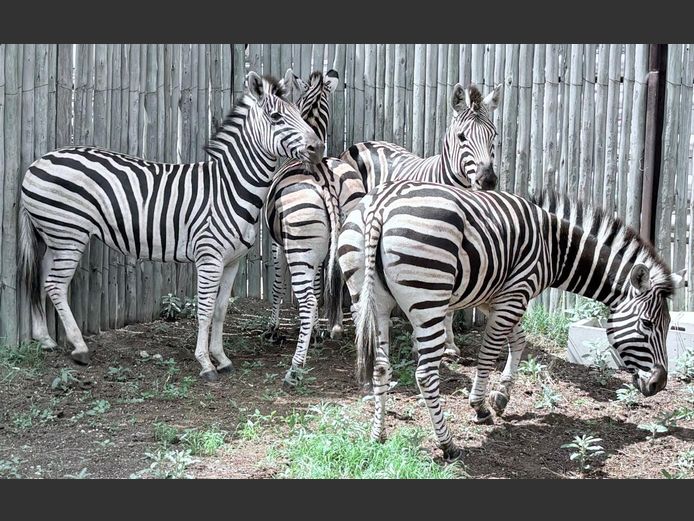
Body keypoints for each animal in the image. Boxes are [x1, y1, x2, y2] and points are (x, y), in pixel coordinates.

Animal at [18, 72, 324, 382]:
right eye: (276, 117)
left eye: (298, 112)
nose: (319, 147)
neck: (230, 187)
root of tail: (38, 161)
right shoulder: (209, 257)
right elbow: (204, 310)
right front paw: (205, 363)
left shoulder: (232, 261)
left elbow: (220, 310)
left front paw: (222, 358)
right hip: (69, 234)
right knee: (55, 284)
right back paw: (79, 347)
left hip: (55, 236)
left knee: (41, 278)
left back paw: (45, 339)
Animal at [264, 69, 366, 386]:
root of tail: (325, 177)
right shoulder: (322, 249)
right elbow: (322, 283)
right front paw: (320, 332)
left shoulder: (279, 243)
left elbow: (277, 283)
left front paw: (274, 329)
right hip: (351, 240)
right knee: (358, 297)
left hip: (298, 242)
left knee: (307, 300)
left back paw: (295, 369)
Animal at [338, 180, 685, 461]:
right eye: (647, 324)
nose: (659, 384)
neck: (554, 247)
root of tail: (380, 206)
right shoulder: (516, 293)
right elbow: (489, 353)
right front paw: (480, 406)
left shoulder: (496, 297)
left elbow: (518, 341)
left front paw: (501, 397)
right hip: (429, 300)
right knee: (425, 375)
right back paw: (448, 445)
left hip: (369, 301)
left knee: (381, 367)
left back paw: (378, 435)